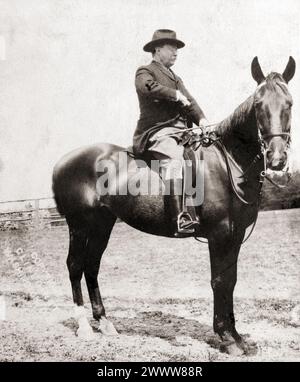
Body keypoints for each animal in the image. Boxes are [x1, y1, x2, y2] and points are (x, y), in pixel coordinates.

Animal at [52, 56, 296, 356]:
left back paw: (106, 323)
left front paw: (237, 337)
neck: (227, 160)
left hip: (102, 224)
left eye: (289, 103)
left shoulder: (235, 235)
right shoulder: (219, 234)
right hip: (78, 225)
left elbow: (231, 280)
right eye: (259, 104)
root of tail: (63, 162)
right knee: (75, 265)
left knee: (91, 266)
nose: (277, 158)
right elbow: (220, 281)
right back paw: (84, 326)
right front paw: (226, 337)